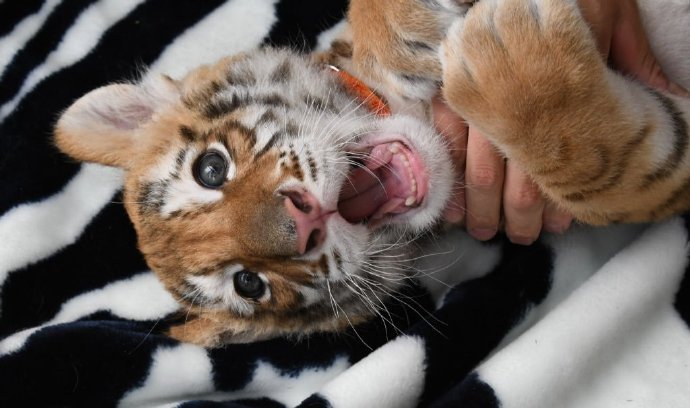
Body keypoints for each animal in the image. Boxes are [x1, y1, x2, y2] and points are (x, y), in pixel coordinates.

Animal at [54, 0, 690, 347]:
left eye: (211, 169)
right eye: (249, 284)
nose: (303, 224)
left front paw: (408, 26)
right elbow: (603, 167)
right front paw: (510, 57)